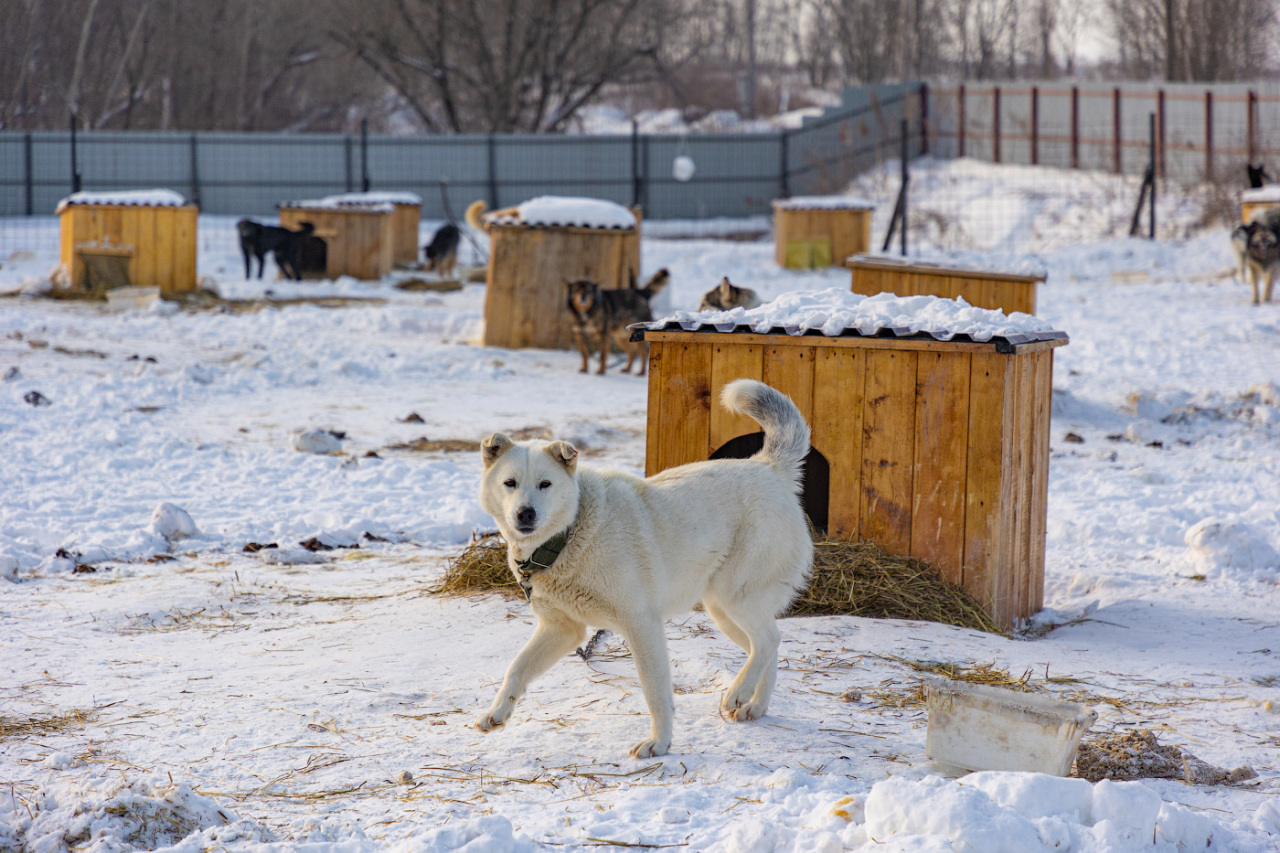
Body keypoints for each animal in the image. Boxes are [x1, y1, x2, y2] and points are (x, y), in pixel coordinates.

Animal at [476, 379, 814, 758]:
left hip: (736, 597)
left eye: (545, 484)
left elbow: (654, 692)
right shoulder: (562, 630)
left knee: (770, 640)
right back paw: (754, 706)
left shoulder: (642, 625)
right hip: (724, 611)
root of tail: (768, 468)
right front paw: (497, 712)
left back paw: (738, 693)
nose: (525, 513)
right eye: (510, 483)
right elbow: (516, 668)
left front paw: (659, 743)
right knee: (767, 646)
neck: (569, 534)